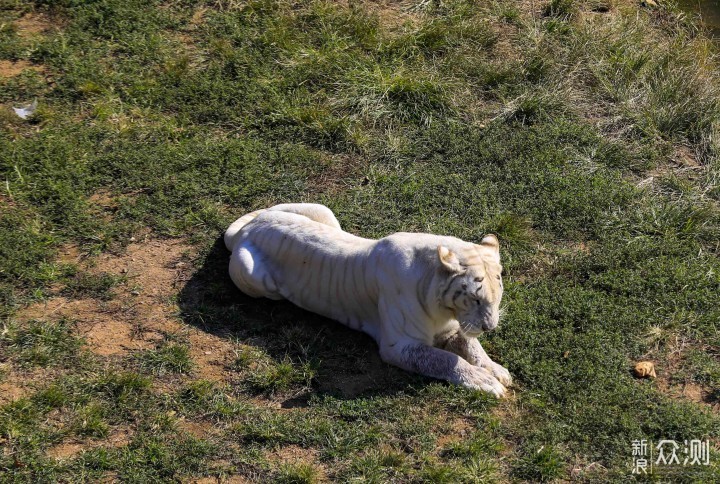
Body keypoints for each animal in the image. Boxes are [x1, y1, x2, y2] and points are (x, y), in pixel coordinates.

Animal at [225, 202, 512, 396]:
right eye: (475, 299)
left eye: (497, 297)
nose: (490, 327)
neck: (444, 306)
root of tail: (249, 229)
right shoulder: (399, 345)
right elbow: (446, 360)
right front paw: (487, 382)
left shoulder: (453, 328)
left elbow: (472, 348)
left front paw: (497, 371)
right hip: (251, 278)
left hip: (321, 210)